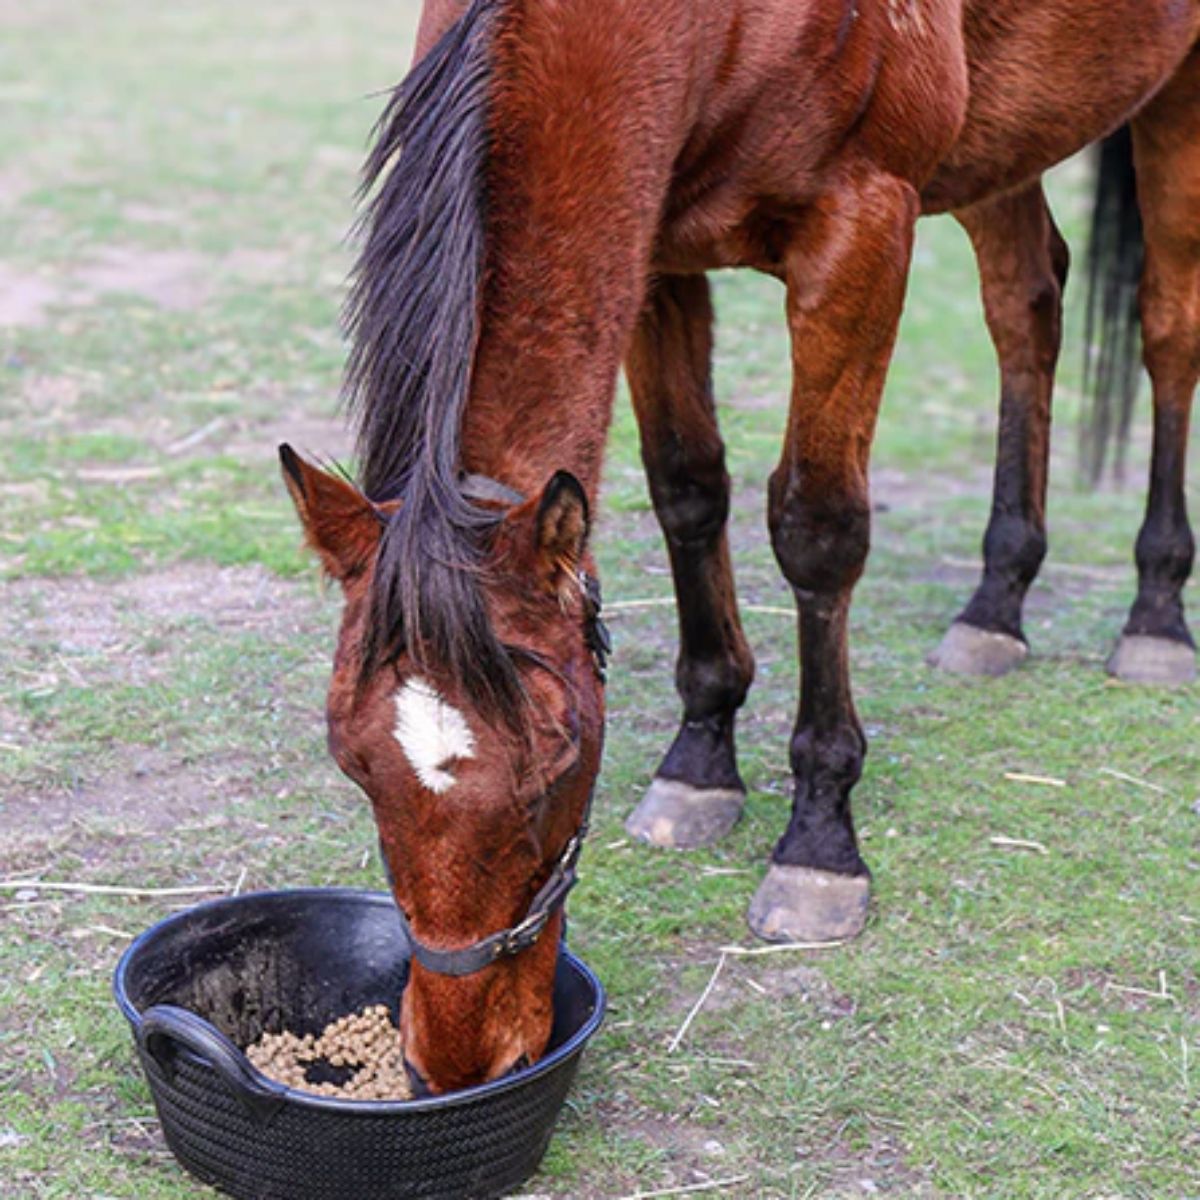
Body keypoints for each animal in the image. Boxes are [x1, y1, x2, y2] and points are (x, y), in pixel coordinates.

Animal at [281, 0, 1200, 1093]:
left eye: (559, 758)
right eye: (351, 761)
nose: (459, 1064)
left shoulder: (859, 235)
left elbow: (816, 529)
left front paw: (818, 841)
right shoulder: (657, 258)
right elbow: (688, 489)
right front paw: (702, 758)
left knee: (1168, 327)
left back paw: (1155, 615)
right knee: (1027, 303)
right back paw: (995, 604)